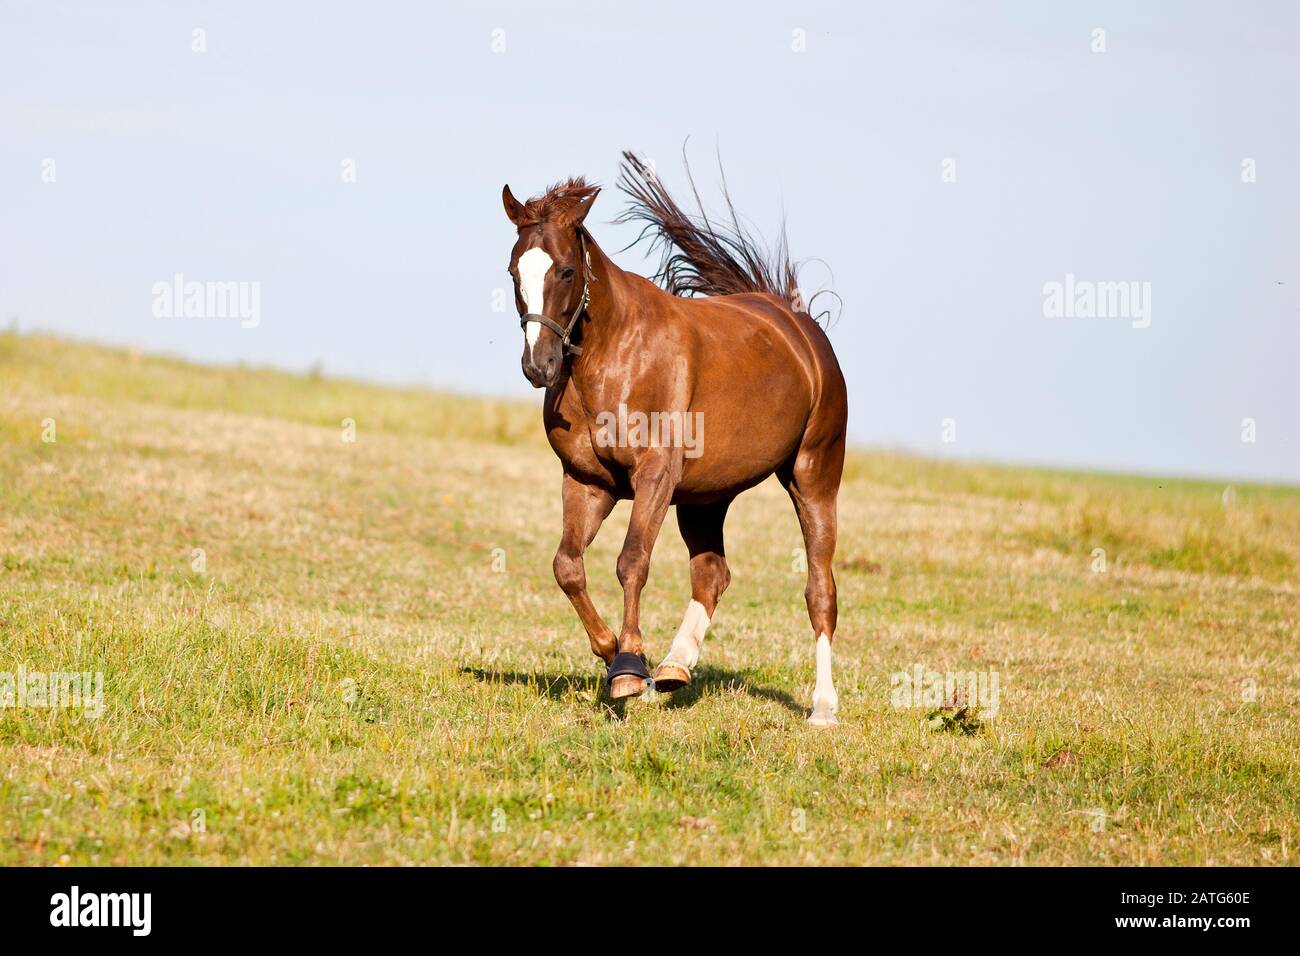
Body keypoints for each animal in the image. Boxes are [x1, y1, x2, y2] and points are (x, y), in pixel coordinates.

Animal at [501, 151, 848, 725]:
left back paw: (822, 707)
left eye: (567, 270)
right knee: (712, 574)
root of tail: (798, 326)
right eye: (514, 272)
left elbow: (631, 561)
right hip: (706, 497)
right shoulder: (588, 482)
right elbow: (567, 566)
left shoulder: (655, 476)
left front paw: (626, 667)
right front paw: (613, 653)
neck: (615, 354)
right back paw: (674, 666)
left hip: (813, 476)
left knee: (820, 589)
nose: (538, 366)